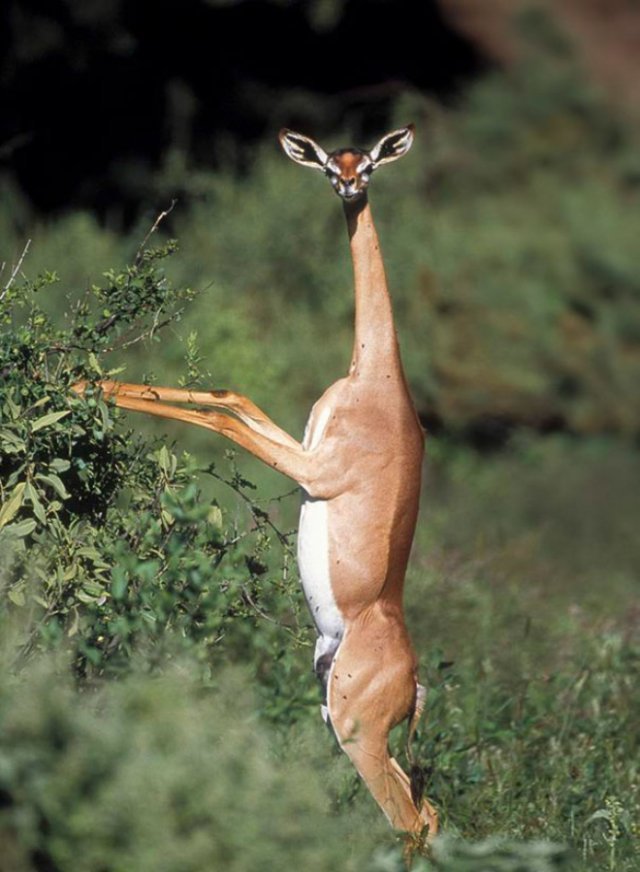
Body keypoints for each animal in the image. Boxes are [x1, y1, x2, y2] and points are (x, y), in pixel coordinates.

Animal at [72, 124, 438, 836]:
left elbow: (222, 423)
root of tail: (414, 681)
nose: (347, 184)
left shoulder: (315, 470)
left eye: (369, 161)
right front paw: (80, 381)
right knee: (429, 811)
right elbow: (230, 395)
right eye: (329, 159)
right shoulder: (301, 445)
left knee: (411, 821)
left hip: (356, 733)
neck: (377, 379)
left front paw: (84, 386)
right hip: (338, 720)